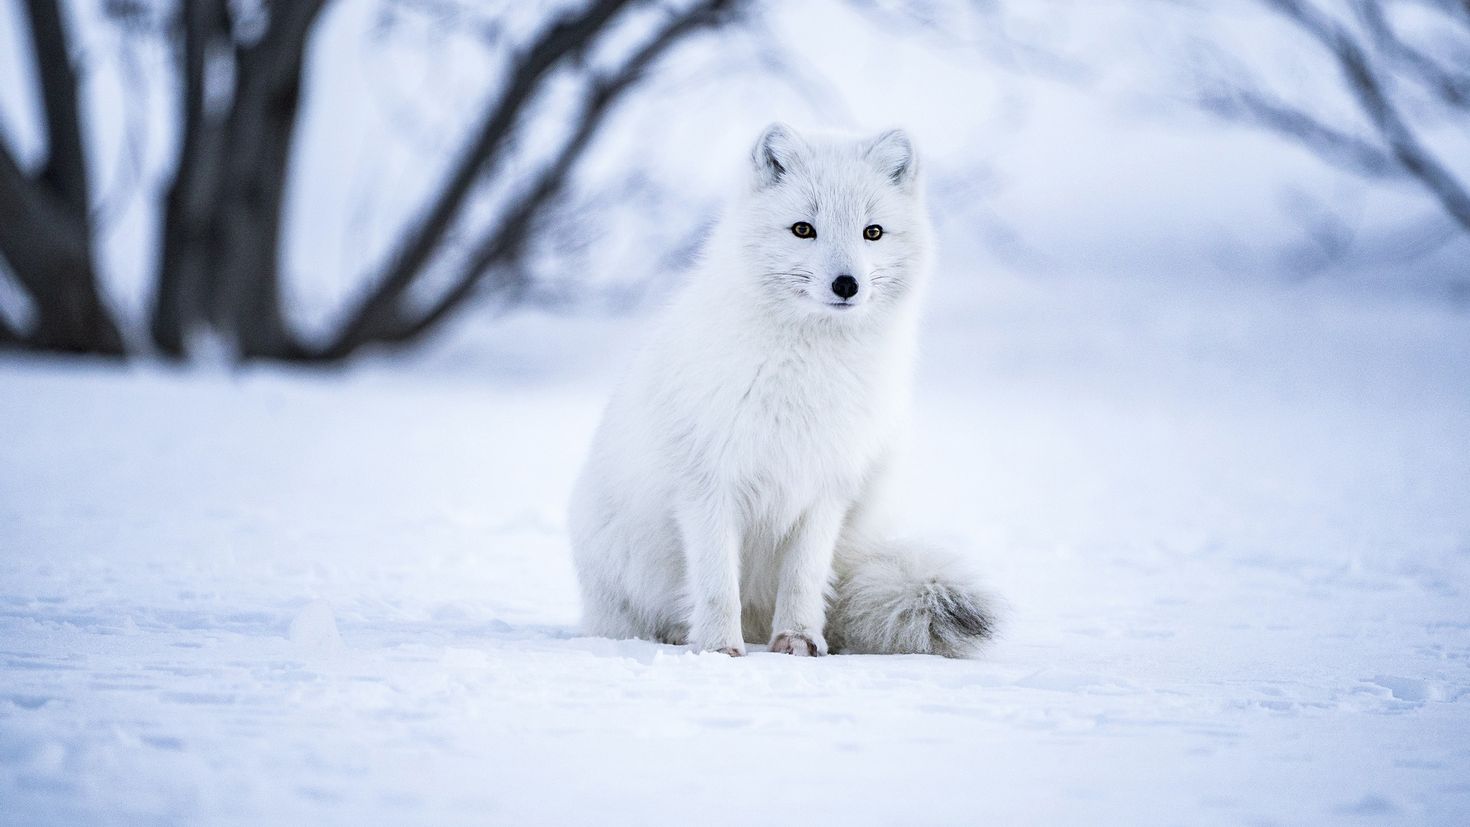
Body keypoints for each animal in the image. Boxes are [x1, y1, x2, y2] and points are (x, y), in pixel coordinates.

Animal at [567, 122, 993, 658]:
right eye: (803, 229)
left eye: (872, 232)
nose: (847, 284)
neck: (807, 369)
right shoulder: (708, 484)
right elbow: (716, 582)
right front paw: (718, 649)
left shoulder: (827, 487)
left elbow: (804, 578)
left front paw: (798, 639)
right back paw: (677, 635)